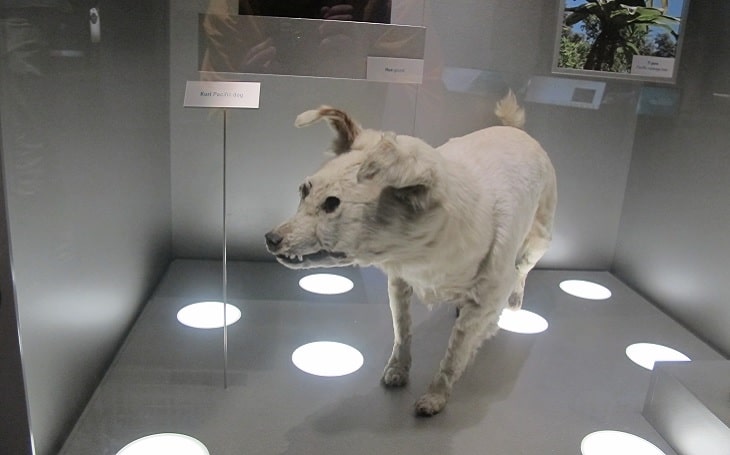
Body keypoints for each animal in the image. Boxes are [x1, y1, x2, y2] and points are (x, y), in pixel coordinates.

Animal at [264, 92, 556, 416]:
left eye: (332, 204)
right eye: (304, 190)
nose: (271, 239)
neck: (419, 255)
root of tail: (515, 129)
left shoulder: (486, 301)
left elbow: (456, 351)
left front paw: (435, 397)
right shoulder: (399, 282)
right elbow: (402, 331)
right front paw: (398, 370)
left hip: (539, 240)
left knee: (523, 269)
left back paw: (515, 300)